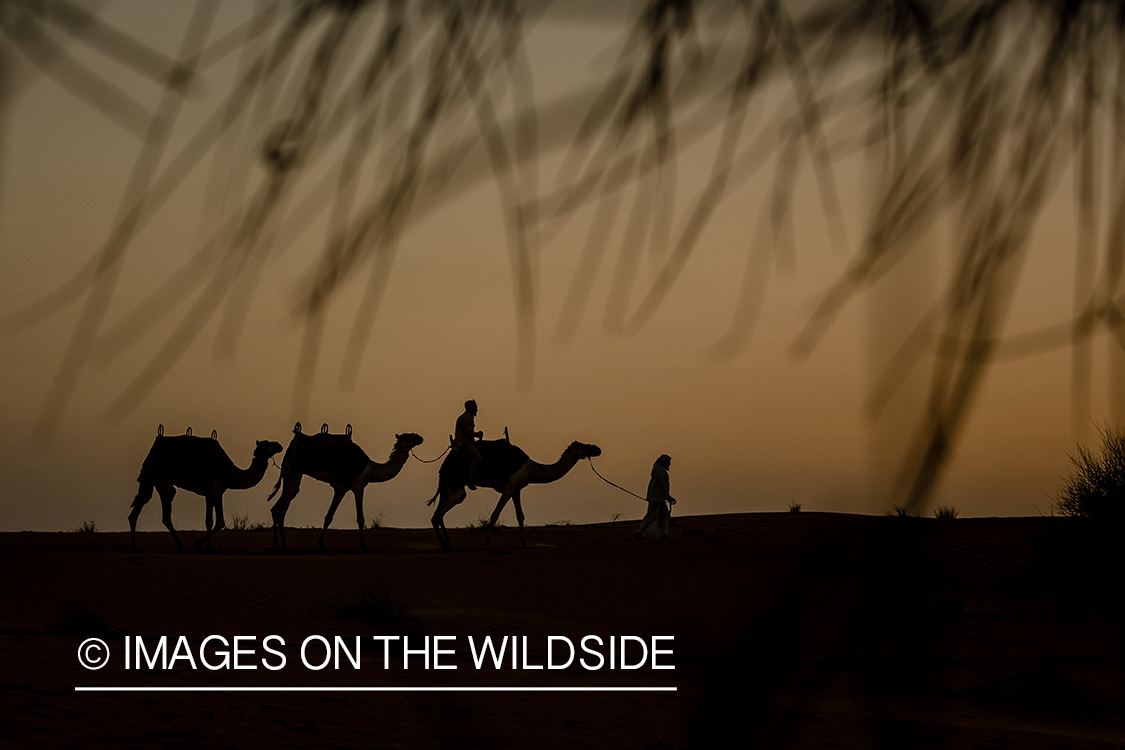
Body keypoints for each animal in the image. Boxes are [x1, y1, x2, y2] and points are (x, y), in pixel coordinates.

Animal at [129, 426, 283, 553]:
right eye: (268, 444)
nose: (279, 445)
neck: (233, 474)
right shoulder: (218, 490)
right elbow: (220, 521)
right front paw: (197, 542)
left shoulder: (209, 494)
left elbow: (208, 520)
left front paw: (210, 547)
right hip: (163, 481)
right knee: (166, 513)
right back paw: (182, 547)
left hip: (148, 478)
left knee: (139, 505)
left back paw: (135, 547)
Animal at [266, 423, 424, 550]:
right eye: (409, 436)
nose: (421, 438)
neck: (372, 470)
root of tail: (292, 444)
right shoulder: (359, 486)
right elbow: (360, 518)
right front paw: (364, 545)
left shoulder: (341, 489)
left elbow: (328, 517)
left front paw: (320, 544)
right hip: (294, 471)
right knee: (282, 507)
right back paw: (283, 545)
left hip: (290, 473)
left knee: (277, 507)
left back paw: (276, 544)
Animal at [427, 437, 602, 551]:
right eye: (582, 445)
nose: (597, 449)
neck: (531, 469)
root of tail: (443, 465)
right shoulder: (509, 488)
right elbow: (494, 515)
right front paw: (487, 544)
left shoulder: (517, 489)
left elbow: (520, 515)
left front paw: (524, 543)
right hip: (455, 482)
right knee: (443, 510)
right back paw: (445, 545)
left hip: (447, 486)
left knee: (439, 513)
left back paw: (448, 544)